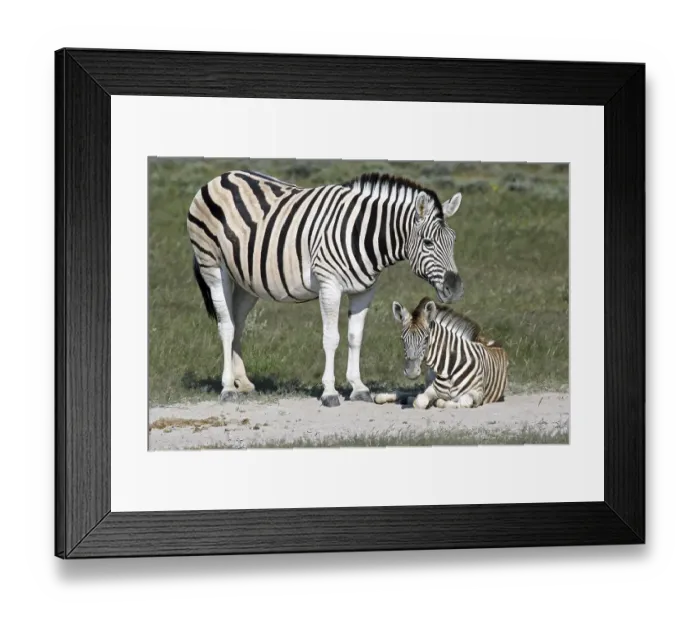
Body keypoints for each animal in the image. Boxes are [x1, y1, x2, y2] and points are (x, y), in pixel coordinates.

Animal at [187, 170, 465, 407]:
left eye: (453, 240)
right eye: (428, 243)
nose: (456, 289)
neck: (361, 234)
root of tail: (222, 176)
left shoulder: (365, 290)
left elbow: (355, 337)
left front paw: (358, 387)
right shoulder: (329, 285)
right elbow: (331, 338)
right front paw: (330, 392)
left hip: (248, 281)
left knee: (238, 324)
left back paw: (242, 382)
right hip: (213, 267)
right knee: (226, 326)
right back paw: (227, 388)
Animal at [374, 297, 508, 409]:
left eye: (426, 338)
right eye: (402, 339)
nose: (411, 373)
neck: (450, 368)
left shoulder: (477, 393)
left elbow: (462, 402)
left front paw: (439, 402)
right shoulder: (432, 389)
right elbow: (420, 401)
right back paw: (383, 396)